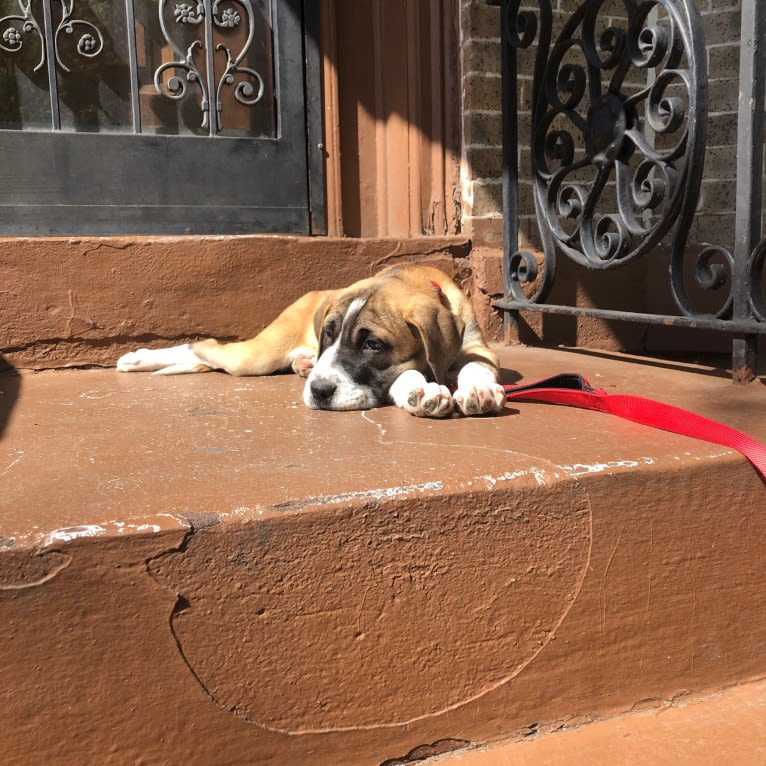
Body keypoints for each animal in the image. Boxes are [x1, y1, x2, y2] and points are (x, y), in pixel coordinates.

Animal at [117, 264, 508, 420]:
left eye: (373, 345)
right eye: (329, 334)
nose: (318, 392)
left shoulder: (477, 348)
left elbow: (475, 366)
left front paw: (477, 390)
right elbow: (406, 375)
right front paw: (422, 389)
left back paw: (304, 364)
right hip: (256, 357)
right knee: (207, 346)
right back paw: (136, 358)